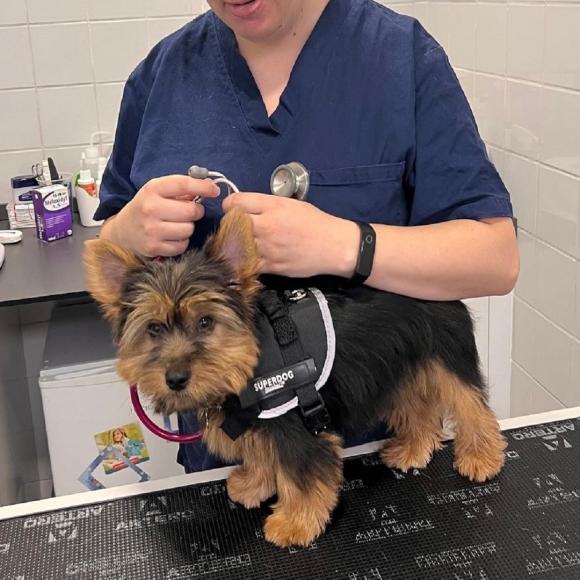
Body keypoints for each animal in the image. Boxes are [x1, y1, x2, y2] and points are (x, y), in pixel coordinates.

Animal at [84, 208, 506, 548]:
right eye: (153, 328)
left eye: (205, 322)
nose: (175, 377)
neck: (248, 355)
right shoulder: (259, 418)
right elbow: (260, 454)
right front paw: (254, 484)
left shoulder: (295, 422)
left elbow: (300, 475)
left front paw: (294, 524)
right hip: (395, 369)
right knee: (416, 408)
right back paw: (413, 449)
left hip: (444, 357)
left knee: (471, 404)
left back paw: (481, 457)